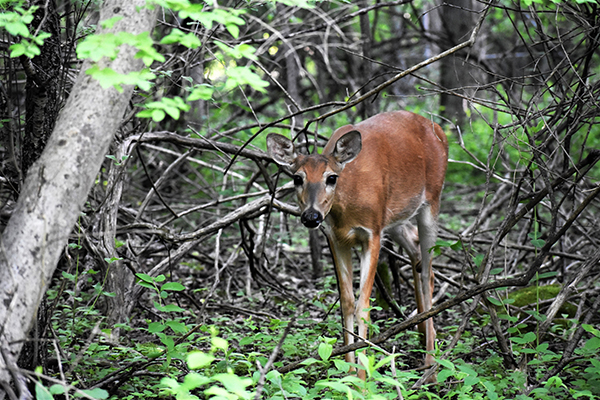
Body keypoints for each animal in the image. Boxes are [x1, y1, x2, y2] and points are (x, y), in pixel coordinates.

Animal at [264, 111, 448, 380]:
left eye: (331, 177)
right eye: (297, 178)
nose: (311, 216)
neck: (346, 210)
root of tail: (438, 129)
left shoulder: (372, 233)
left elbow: (363, 305)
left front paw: (361, 377)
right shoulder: (336, 237)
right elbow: (347, 301)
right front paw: (349, 372)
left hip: (432, 200)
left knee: (428, 272)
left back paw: (431, 365)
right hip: (395, 217)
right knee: (415, 249)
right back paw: (422, 335)